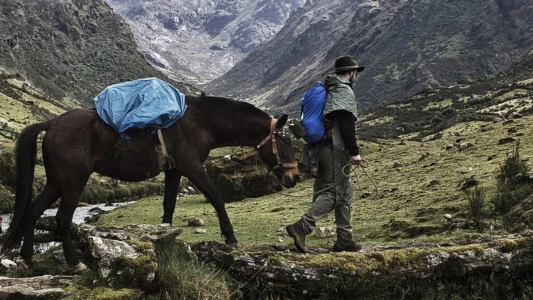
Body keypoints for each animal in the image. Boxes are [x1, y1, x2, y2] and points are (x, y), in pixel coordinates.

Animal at [0, 95, 300, 274]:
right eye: (286, 141)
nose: (294, 177)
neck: (200, 122)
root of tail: (51, 123)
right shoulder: (192, 167)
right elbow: (216, 196)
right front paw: (231, 237)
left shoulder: (174, 171)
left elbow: (168, 205)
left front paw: (164, 240)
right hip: (73, 181)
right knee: (62, 218)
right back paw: (75, 264)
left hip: (56, 181)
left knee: (34, 211)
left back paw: (26, 258)